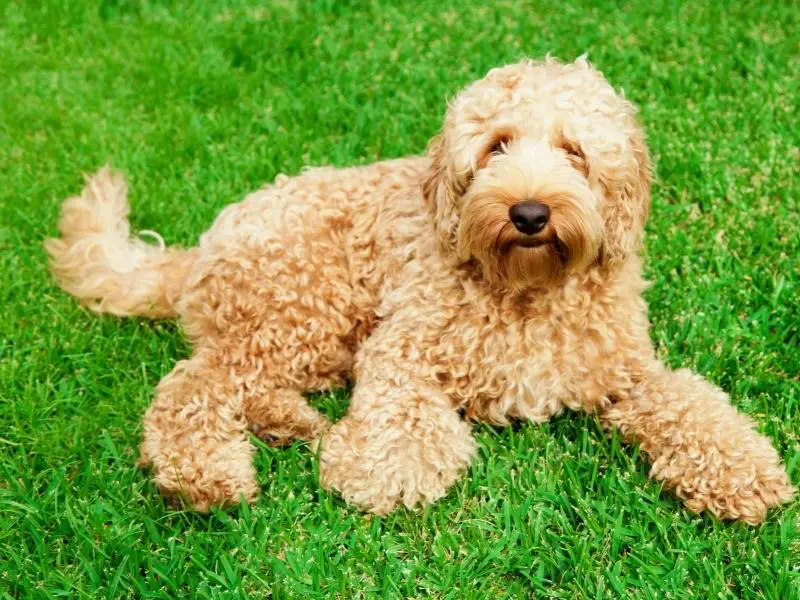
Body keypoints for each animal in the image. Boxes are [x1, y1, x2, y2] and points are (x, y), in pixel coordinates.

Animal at [45, 58, 792, 524]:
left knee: (238, 385)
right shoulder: (402, 346)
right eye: (496, 145)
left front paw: (744, 473)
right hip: (303, 306)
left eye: (575, 151)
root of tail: (201, 248)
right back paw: (207, 478)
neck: (525, 289)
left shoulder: (626, 372)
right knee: (192, 387)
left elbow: (692, 404)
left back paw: (294, 424)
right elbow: (401, 415)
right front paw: (386, 471)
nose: (529, 212)